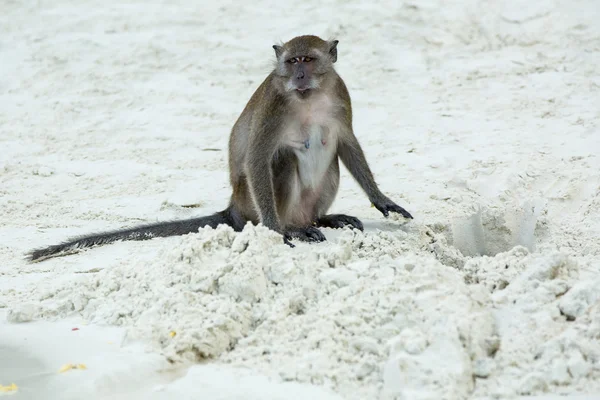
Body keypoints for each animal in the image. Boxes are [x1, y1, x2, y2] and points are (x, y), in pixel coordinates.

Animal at [28, 35, 412, 262]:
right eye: (292, 62)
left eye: (309, 60)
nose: (299, 77)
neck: (310, 97)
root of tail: (234, 209)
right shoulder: (275, 104)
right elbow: (258, 155)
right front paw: (277, 232)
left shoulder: (339, 93)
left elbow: (346, 142)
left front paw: (383, 201)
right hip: (250, 201)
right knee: (282, 159)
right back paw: (292, 227)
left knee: (329, 158)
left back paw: (320, 219)